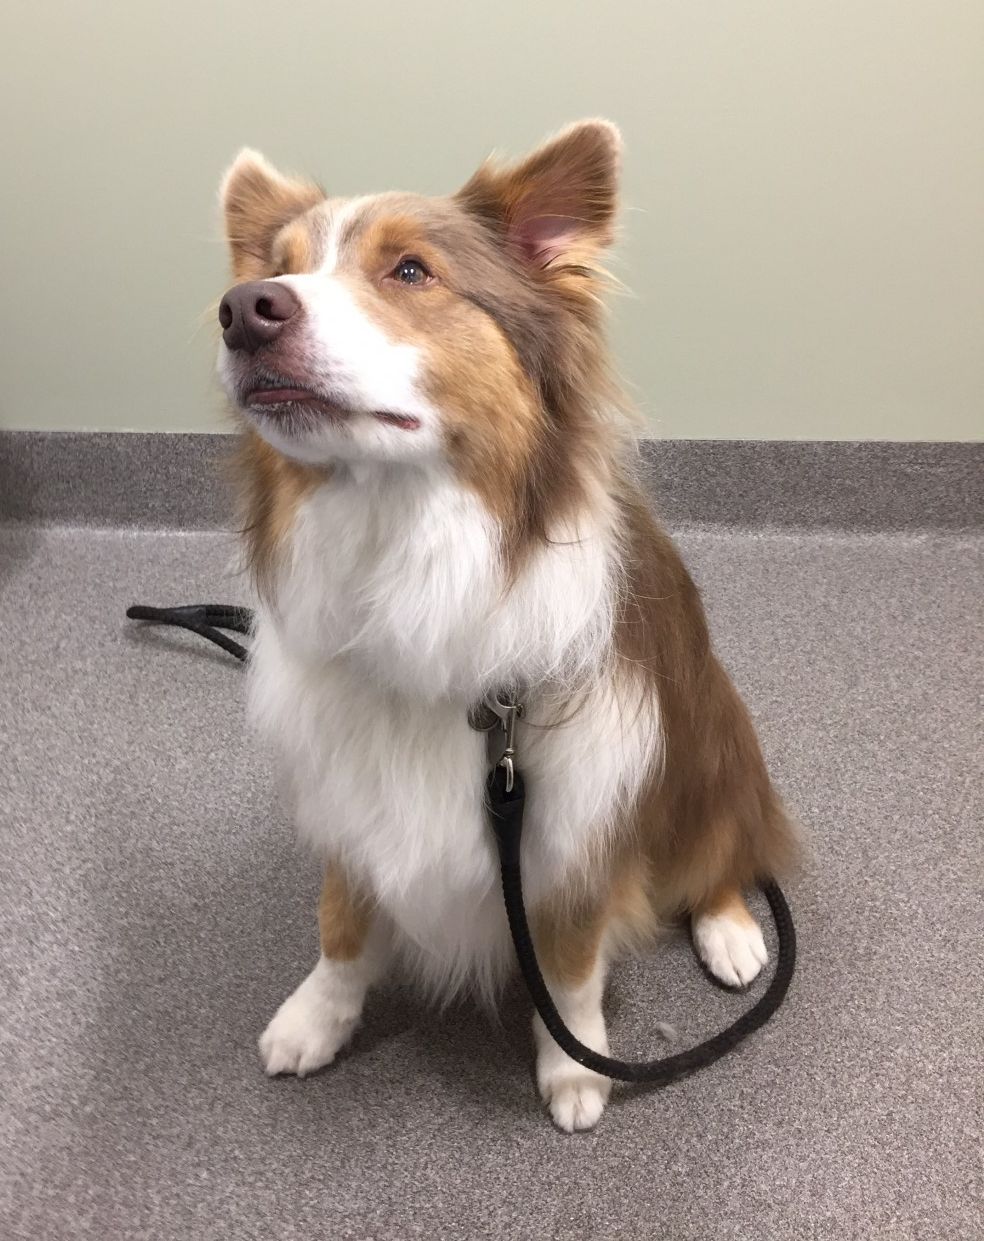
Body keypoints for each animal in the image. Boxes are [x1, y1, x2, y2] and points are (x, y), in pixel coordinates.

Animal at [217, 120, 799, 1131]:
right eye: (277, 267)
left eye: (411, 271)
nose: (243, 310)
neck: (403, 547)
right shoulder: (351, 791)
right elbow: (340, 925)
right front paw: (316, 1018)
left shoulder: (575, 820)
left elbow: (566, 969)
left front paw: (575, 1068)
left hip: (707, 740)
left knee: (723, 847)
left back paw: (729, 929)